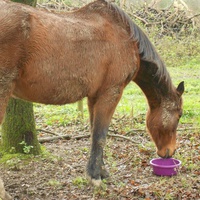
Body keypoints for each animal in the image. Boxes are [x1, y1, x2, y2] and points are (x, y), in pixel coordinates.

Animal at [0, 0, 184, 187]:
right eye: (179, 116)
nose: (170, 151)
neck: (126, 38)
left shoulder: (94, 96)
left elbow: (94, 132)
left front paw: (101, 171)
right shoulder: (111, 93)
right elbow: (100, 135)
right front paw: (95, 175)